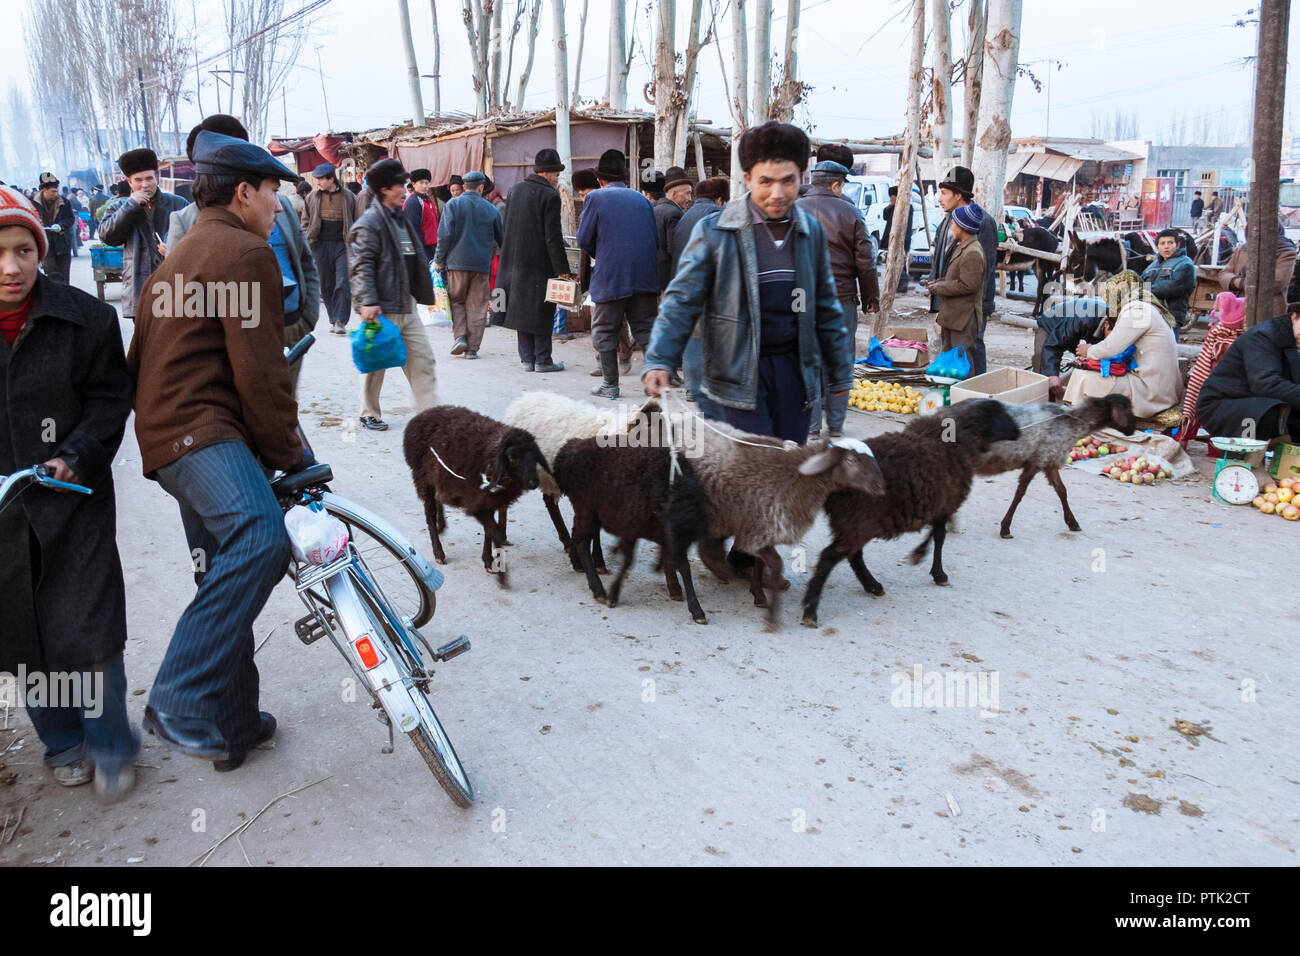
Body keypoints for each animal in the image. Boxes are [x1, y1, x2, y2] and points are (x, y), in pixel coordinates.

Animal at [405, 403, 548, 582]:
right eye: (512, 457)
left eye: (536, 456)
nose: (533, 482)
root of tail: (422, 415)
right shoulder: (477, 503)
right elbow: (496, 533)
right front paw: (501, 574)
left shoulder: (489, 502)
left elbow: (489, 532)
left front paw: (488, 561)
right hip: (423, 480)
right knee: (429, 515)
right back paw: (439, 552)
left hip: (437, 480)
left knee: (438, 499)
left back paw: (441, 525)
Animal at [795, 398, 1019, 629]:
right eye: (1001, 413)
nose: (1018, 431)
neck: (958, 439)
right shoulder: (946, 503)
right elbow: (939, 536)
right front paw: (936, 571)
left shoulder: (939, 504)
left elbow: (935, 532)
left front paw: (920, 555)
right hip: (859, 521)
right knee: (830, 557)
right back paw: (811, 609)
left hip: (853, 522)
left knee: (853, 555)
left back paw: (872, 586)